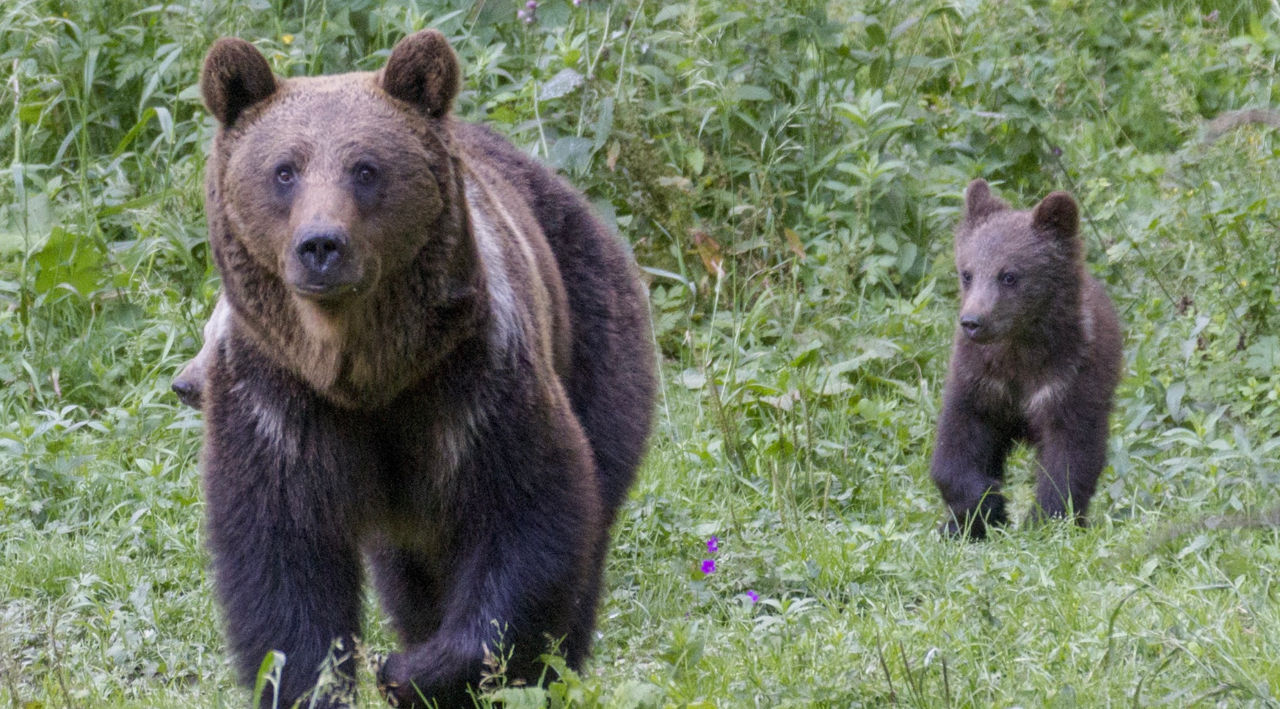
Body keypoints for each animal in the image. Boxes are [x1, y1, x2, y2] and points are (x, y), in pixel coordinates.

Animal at [195, 29, 655, 707]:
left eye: (366, 168)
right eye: (284, 170)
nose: (321, 245)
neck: (367, 373)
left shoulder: (474, 379)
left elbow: (526, 513)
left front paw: (414, 669)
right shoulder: (275, 399)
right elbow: (281, 560)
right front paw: (315, 682)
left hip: (596, 329)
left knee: (594, 507)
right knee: (407, 572)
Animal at [929, 179, 1122, 539]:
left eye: (1009, 275)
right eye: (967, 273)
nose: (973, 321)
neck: (1018, 352)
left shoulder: (1068, 379)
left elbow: (1071, 454)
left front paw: (1046, 519)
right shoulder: (978, 380)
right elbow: (956, 443)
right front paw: (986, 506)